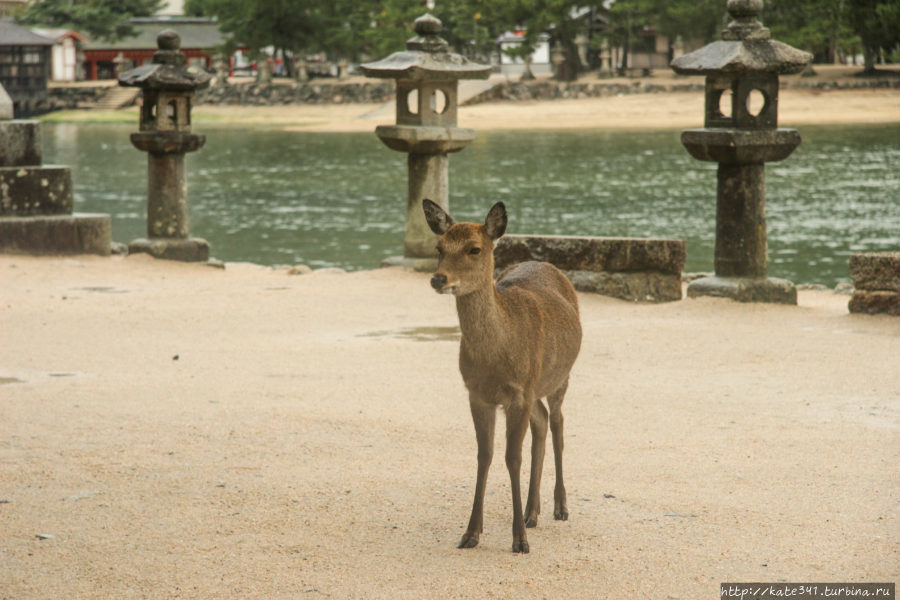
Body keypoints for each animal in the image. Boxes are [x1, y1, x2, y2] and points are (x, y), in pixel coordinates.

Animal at [422, 200, 584, 552]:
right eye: (439, 248)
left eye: (474, 249)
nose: (438, 279)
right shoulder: (477, 393)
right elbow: (485, 456)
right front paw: (471, 533)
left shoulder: (518, 393)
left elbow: (513, 458)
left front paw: (519, 541)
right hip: (535, 387)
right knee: (541, 421)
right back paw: (532, 512)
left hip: (560, 376)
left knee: (558, 423)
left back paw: (560, 507)